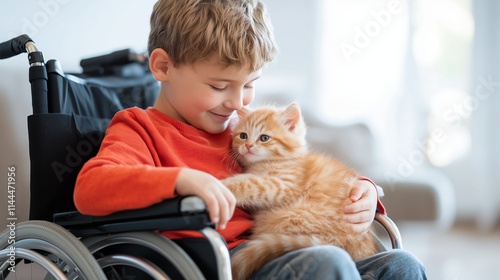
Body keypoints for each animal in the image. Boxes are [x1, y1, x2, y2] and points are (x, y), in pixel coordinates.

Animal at [221, 103, 376, 280]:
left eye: (264, 138)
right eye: (243, 136)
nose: (247, 146)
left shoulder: (285, 185)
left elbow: (250, 183)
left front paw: (222, 185)